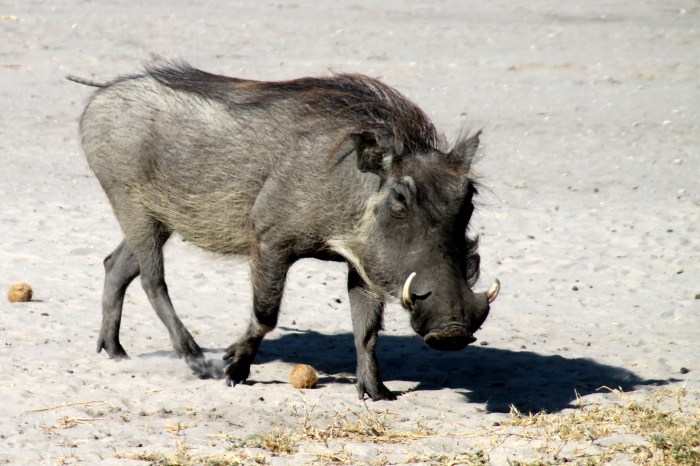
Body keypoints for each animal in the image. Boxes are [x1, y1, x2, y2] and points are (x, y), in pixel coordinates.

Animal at [69, 63, 499, 400]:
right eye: (399, 198)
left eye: (469, 196)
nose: (452, 331)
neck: (348, 186)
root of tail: (106, 91)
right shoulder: (270, 241)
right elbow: (265, 315)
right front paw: (233, 369)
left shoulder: (363, 263)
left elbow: (366, 329)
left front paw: (376, 393)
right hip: (132, 205)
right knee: (153, 280)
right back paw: (196, 361)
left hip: (158, 219)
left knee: (116, 266)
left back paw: (114, 351)